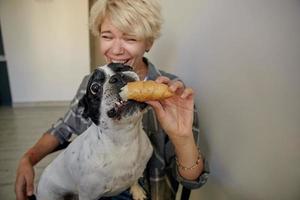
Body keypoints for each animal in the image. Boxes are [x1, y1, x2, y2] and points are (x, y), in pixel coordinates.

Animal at [36, 63, 154, 200]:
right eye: (95, 87)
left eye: (127, 67)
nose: (117, 77)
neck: (125, 138)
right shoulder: (88, 194)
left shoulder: (138, 169)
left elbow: (134, 180)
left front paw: (137, 191)